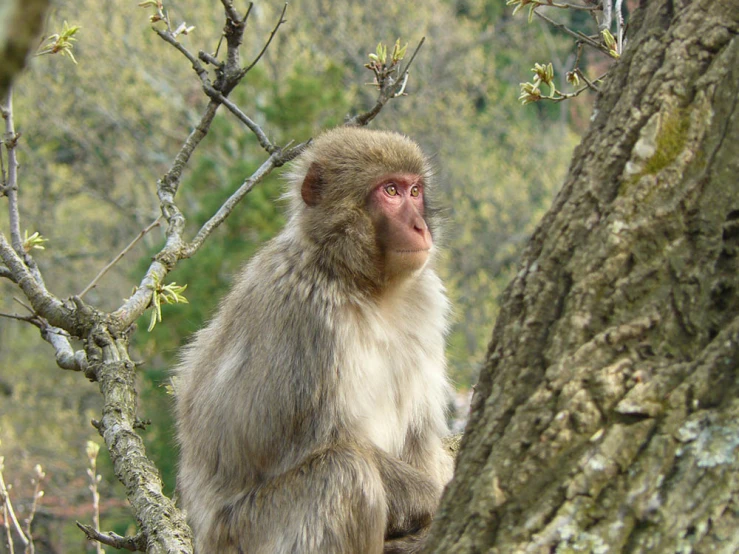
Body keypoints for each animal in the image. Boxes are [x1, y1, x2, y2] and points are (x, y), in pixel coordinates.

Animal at [176, 127, 454, 548]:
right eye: (390, 191)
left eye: (415, 190)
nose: (420, 227)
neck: (359, 281)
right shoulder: (311, 316)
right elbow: (325, 441)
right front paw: (434, 499)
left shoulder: (425, 304)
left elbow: (419, 434)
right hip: (245, 532)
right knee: (345, 472)